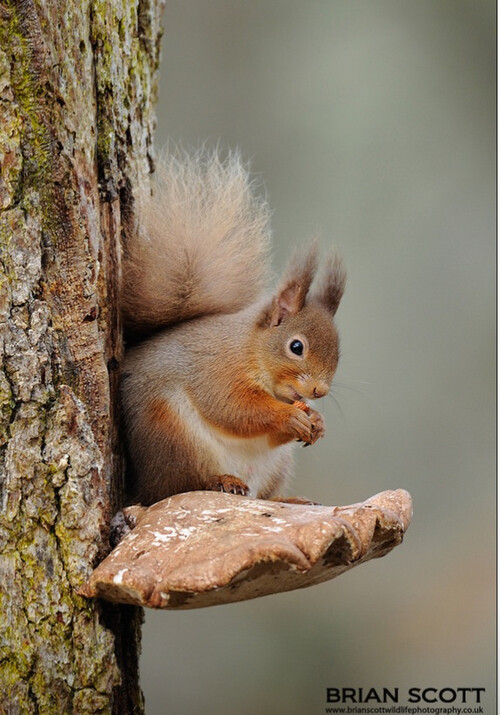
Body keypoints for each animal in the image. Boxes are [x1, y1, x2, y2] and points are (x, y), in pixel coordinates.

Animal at [122, 148, 344, 506]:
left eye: (339, 353)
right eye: (296, 347)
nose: (319, 392)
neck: (249, 347)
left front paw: (318, 421)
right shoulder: (218, 371)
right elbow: (234, 408)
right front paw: (289, 416)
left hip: (276, 466)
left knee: (264, 496)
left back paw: (288, 500)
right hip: (172, 434)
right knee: (180, 484)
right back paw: (223, 480)